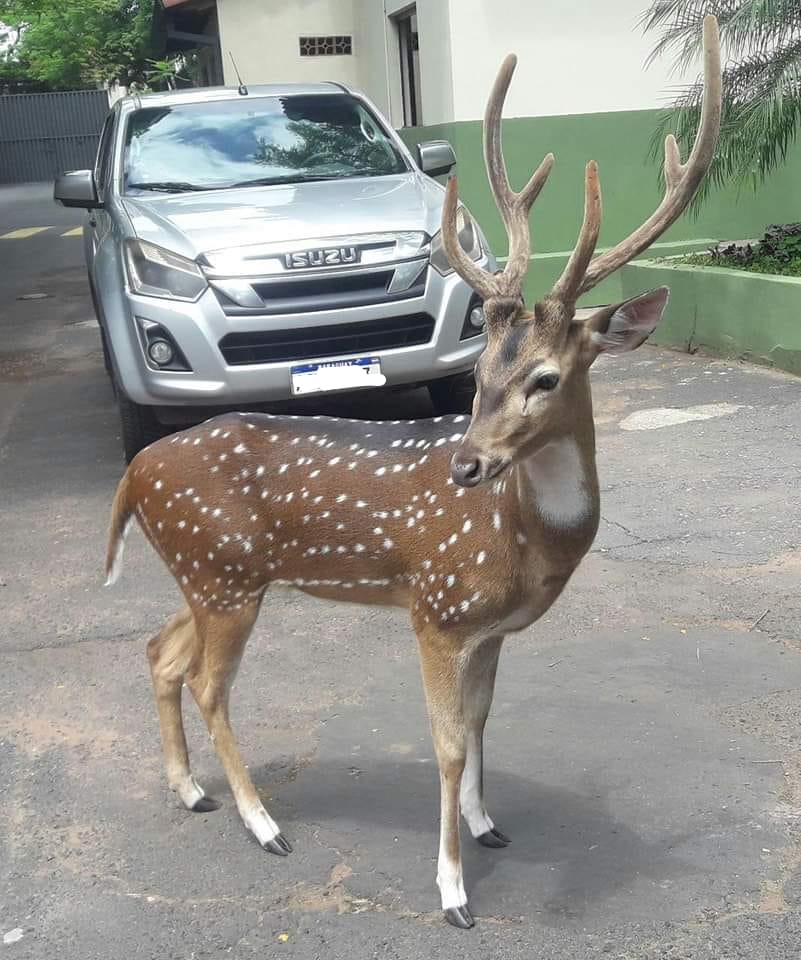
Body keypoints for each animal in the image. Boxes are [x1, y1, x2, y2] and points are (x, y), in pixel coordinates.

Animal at [103, 16, 720, 928]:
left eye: (544, 378)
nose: (468, 463)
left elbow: (483, 724)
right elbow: (446, 742)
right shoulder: (435, 607)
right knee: (211, 684)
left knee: (160, 650)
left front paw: (488, 825)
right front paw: (452, 889)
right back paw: (263, 825)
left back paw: (189, 790)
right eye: (480, 373)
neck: (524, 544)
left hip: (211, 572)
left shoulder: (487, 628)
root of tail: (137, 470)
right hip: (221, 573)